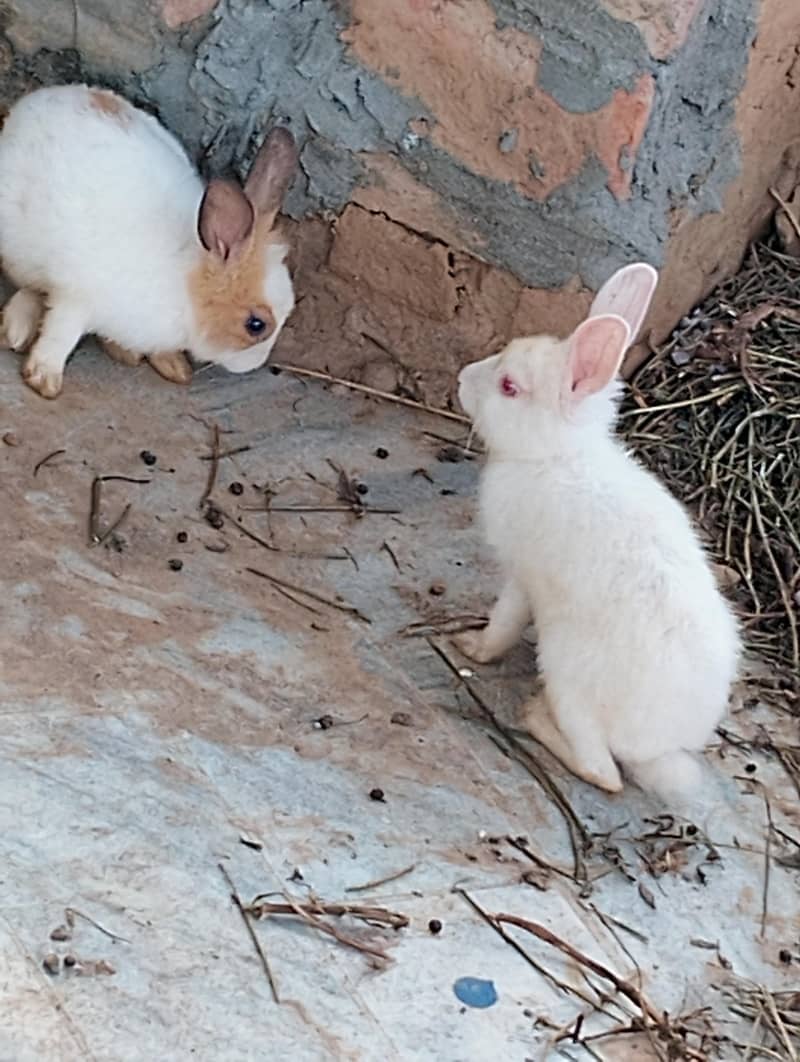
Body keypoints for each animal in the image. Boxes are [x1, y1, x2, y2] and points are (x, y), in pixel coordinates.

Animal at [0, 84, 298, 399]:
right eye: (256, 325)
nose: (257, 363)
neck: (186, 286)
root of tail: (36, 100)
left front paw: (173, 367)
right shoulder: (77, 299)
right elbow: (60, 335)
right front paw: (44, 380)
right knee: (31, 288)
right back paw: (16, 330)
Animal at [454, 263, 741, 803]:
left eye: (508, 387)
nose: (462, 378)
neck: (556, 455)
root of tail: (657, 748)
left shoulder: (522, 576)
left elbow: (504, 621)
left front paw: (472, 648)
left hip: (567, 672)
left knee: (603, 773)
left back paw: (536, 718)